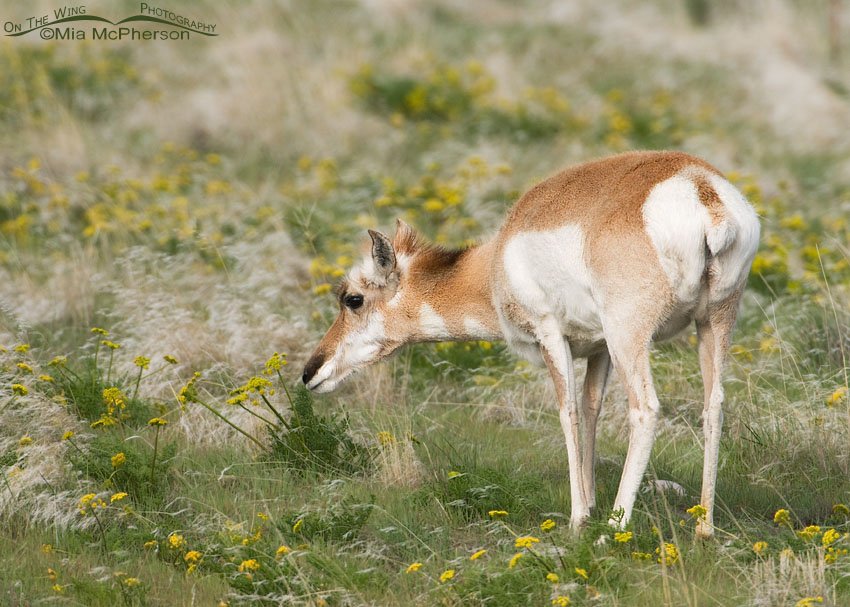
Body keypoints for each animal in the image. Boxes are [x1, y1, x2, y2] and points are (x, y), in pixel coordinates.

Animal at [302, 150, 760, 537]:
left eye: (352, 299)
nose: (310, 372)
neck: (494, 262)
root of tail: (699, 187)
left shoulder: (551, 335)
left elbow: (568, 411)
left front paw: (579, 518)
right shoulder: (599, 349)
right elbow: (591, 409)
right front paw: (589, 503)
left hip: (630, 335)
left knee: (645, 409)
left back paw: (615, 527)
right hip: (713, 323)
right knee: (714, 406)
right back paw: (704, 527)